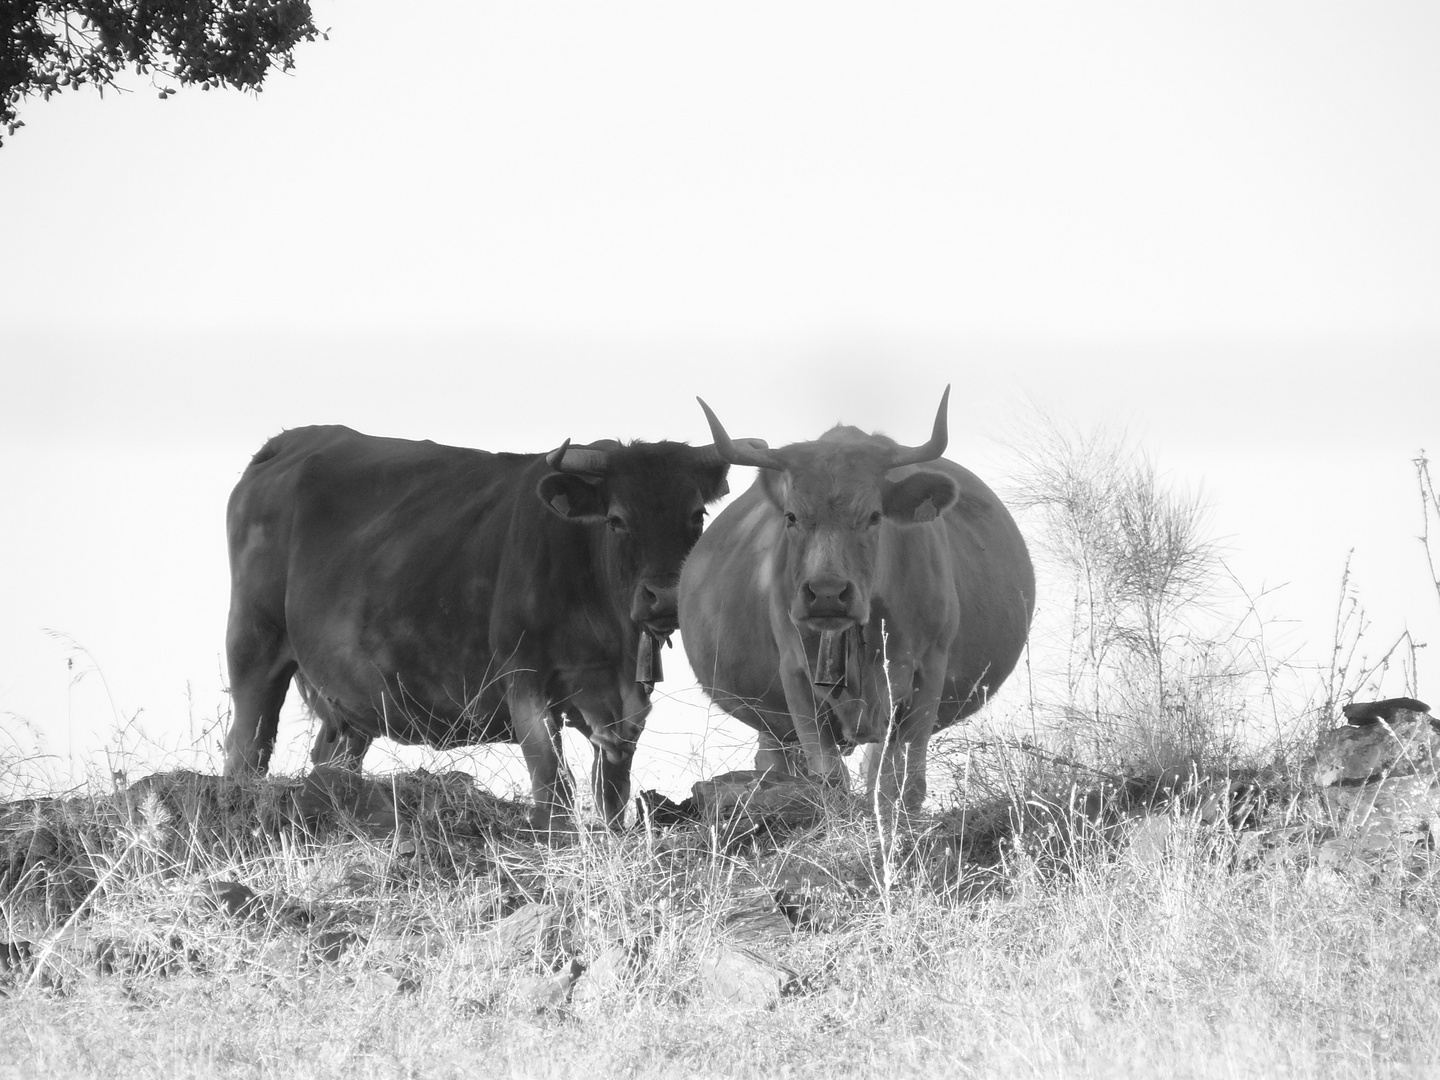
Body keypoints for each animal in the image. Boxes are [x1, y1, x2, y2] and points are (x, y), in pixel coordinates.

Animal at [224, 426, 748, 835]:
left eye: (696, 515)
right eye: (617, 519)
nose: (665, 597)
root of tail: (289, 441)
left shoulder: (621, 709)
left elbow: (612, 792)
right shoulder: (525, 681)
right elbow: (551, 779)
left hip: (352, 696)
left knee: (333, 758)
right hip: (254, 641)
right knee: (248, 745)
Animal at [676, 388, 1031, 812]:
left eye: (875, 516)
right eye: (792, 517)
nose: (827, 593)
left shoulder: (928, 671)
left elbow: (903, 784)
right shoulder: (795, 676)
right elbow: (829, 782)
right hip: (774, 724)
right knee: (775, 764)